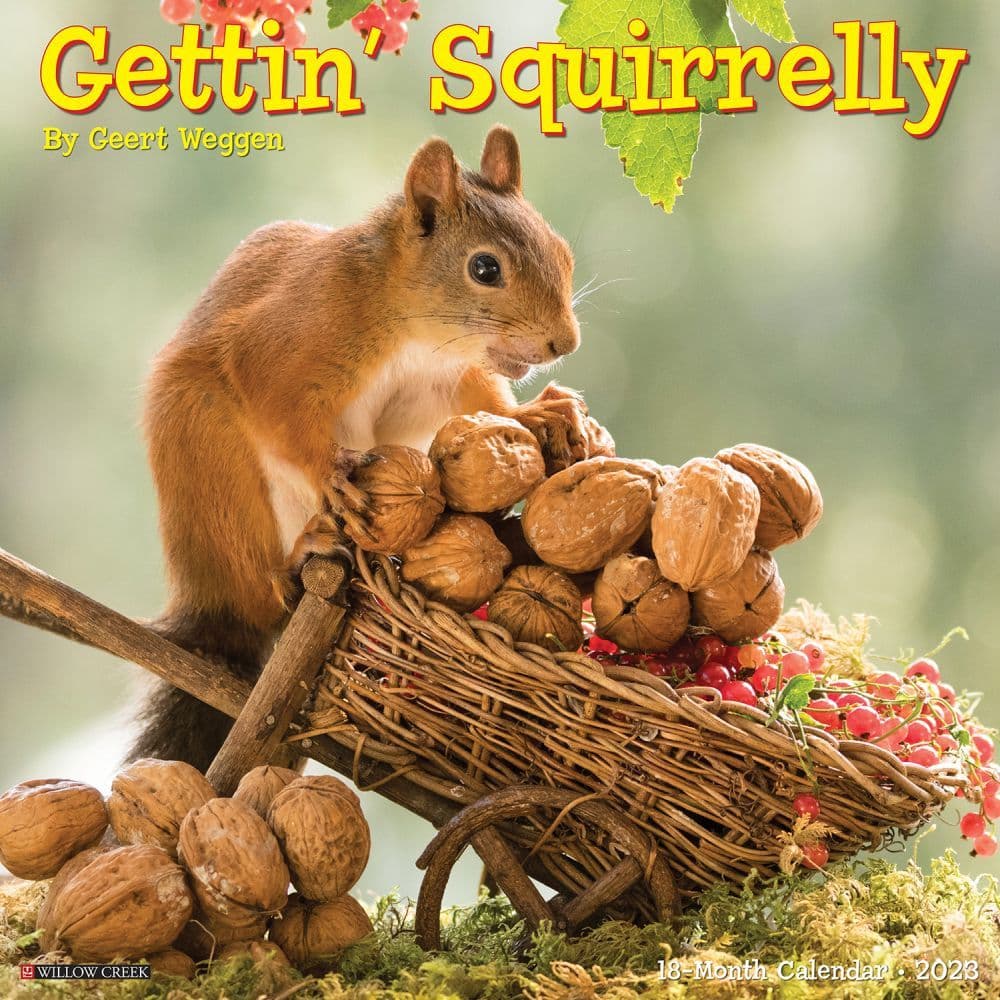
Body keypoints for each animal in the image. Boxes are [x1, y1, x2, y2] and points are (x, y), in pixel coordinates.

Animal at [129, 126, 585, 771]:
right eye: (485, 267)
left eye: (563, 252)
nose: (564, 342)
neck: (411, 330)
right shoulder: (286, 343)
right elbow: (282, 414)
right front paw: (331, 473)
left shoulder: (440, 380)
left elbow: (483, 399)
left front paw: (535, 414)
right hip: (215, 468)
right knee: (260, 585)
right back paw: (298, 554)